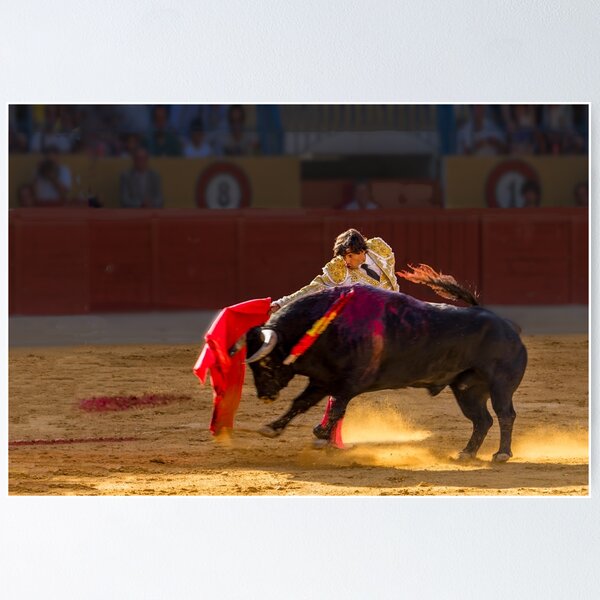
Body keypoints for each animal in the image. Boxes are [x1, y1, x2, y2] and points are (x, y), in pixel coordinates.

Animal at [244, 284, 524, 462]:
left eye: (266, 362)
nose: (265, 396)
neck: (325, 324)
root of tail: (510, 328)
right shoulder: (322, 380)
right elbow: (300, 403)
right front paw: (272, 428)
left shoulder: (349, 382)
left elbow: (336, 408)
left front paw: (321, 437)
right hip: (467, 390)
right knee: (482, 420)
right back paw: (466, 453)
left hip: (500, 385)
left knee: (504, 415)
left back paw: (501, 454)